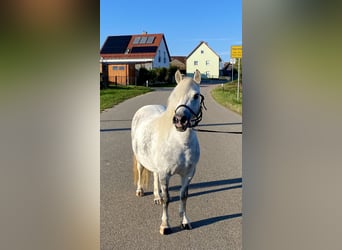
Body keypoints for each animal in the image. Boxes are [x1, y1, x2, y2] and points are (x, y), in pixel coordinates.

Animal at [131, 70, 206, 234]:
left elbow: (183, 196)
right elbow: (167, 199)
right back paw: (140, 191)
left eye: (196, 96)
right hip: (140, 160)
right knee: (140, 171)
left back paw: (156, 197)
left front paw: (185, 221)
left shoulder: (188, 174)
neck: (180, 143)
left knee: (154, 176)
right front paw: (165, 225)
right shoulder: (165, 174)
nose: (179, 120)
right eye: (175, 94)